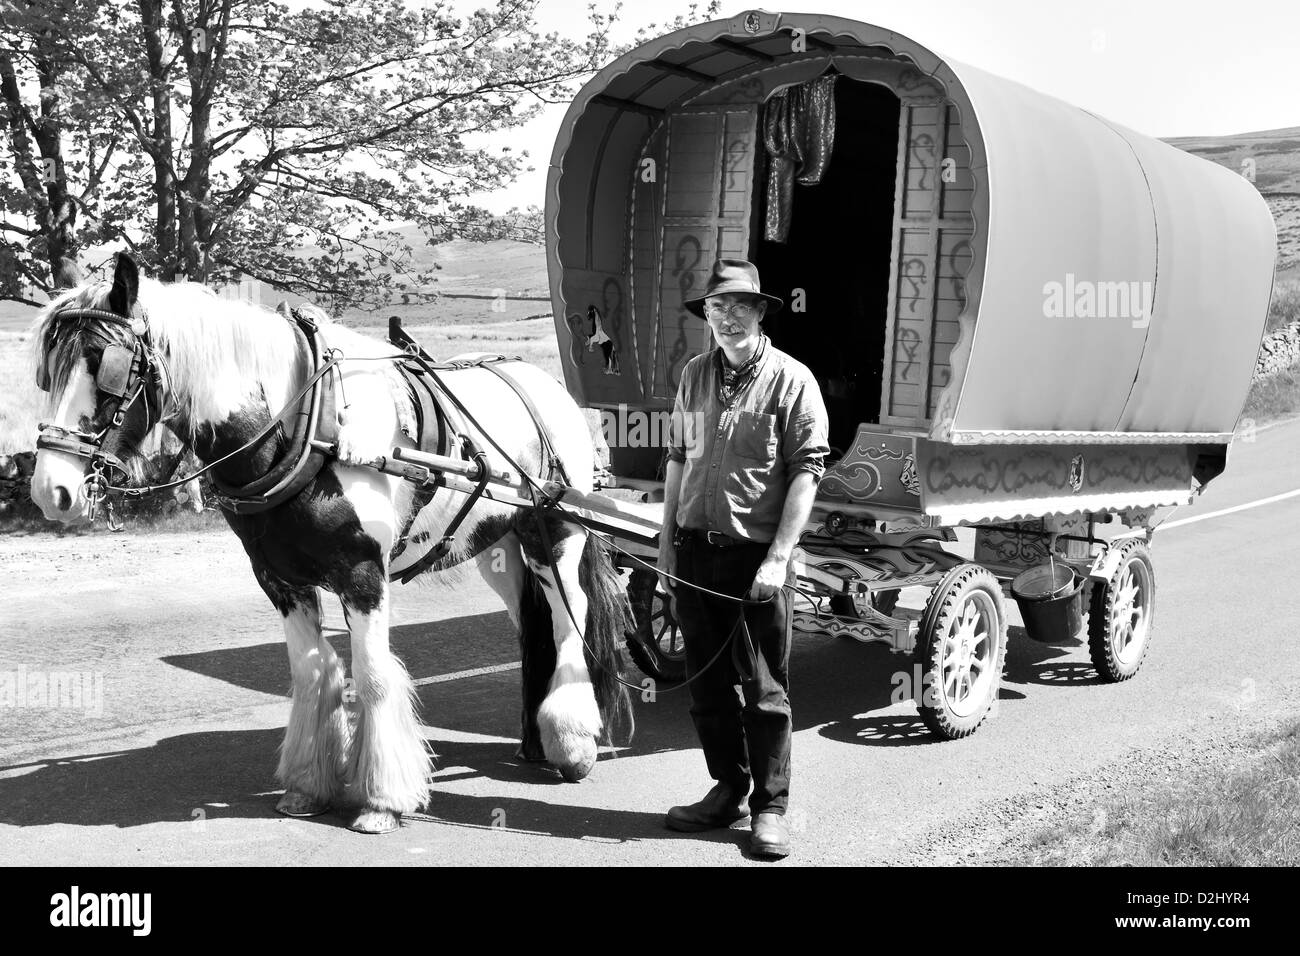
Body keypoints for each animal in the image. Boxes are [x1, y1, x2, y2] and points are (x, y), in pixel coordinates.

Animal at [28, 253, 633, 834]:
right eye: (48, 372)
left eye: (105, 366)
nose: (50, 491)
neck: (311, 428)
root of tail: (545, 385)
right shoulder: (280, 580)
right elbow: (313, 673)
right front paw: (306, 787)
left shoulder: (364, 575)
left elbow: (374, 678)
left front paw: (382, 802)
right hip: (499, 548)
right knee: (533, 626)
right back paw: (535, 741)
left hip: (556, 534)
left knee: (569, 616)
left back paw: (572, 742)